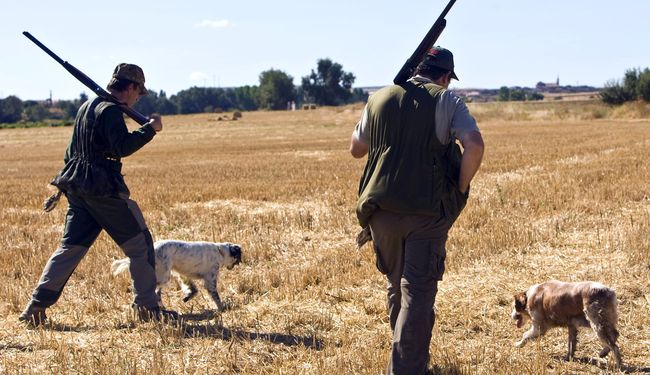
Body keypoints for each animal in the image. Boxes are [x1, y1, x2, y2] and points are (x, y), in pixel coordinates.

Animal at [111, 241, 243, 312]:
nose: (238, 264)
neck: (220, 251)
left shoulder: (183, 274)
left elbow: (193, 288)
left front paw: (187, 297)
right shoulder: (210, 280)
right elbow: (216, 297)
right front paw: (221, 308)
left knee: (156, 293)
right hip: (164, 276)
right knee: (152, 290)